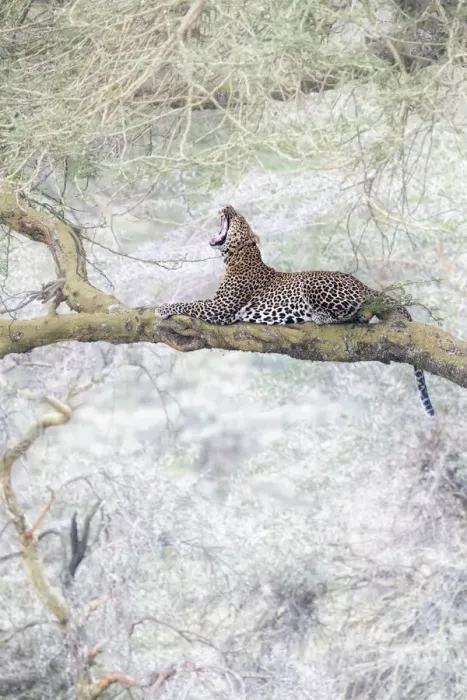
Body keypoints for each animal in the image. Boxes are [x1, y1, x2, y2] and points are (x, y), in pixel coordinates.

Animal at [155, 205, 435, 416]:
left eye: (241, 218)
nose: (228, 206)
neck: (237, 258)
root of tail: (364, 285)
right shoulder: (218, 305)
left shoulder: (221, 307)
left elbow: (191, 303)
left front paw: (162, 307)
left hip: (313, 283)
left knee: (360, 313)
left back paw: (319, 316)